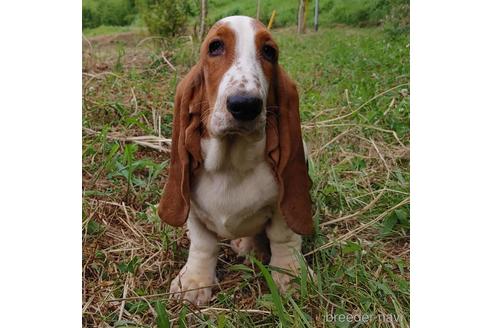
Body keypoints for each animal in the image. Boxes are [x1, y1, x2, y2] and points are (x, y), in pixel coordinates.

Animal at [158, 16, 314, 306]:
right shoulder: (193, 210)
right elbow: (203, 244)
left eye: (269, 52)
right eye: (215, 47)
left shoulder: (282, 207)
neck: (231, 166)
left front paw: (291, 274)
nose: (245, 105)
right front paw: (194, 282)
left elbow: (283, 237)